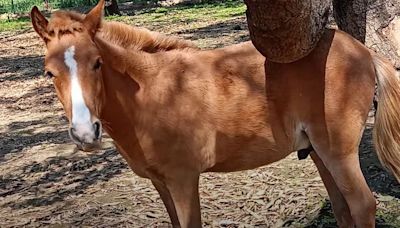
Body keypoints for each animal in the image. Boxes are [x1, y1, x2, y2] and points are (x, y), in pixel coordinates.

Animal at [30, 0, 400, 227]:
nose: (85, 134)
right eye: (49, 72)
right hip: (319, 153)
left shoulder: (182, 178)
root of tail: (363, 51)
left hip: (338, 151)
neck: (151, 92)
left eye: (97, 63)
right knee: (343, 210)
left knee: (363, 205)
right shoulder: (160, 182)